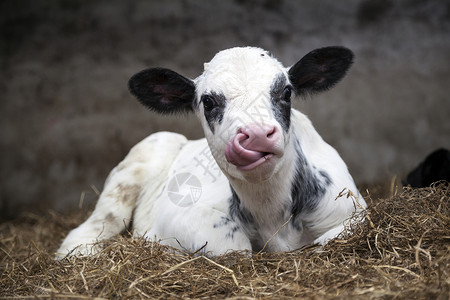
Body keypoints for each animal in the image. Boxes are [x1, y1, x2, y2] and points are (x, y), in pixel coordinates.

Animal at [55, 46, 366, 258]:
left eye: (286, 92)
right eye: (208, 101)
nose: (255, 134)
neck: (272, 215)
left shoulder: (353, 211)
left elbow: (329, 240)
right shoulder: (177, 215)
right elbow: (233, 245)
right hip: (141, 160)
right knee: (88, 230)